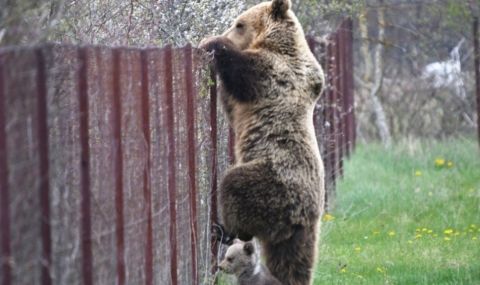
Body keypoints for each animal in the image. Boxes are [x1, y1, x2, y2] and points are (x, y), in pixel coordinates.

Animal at [199, 0, 326, 282]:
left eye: (239, 24)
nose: (227, 30)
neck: (279, 44)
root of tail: (303, 218)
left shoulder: (277, 74)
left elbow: (243, 71)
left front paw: (209, 41)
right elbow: (230, 103)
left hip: (274, 181)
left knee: (235, 185)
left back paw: (224, 228)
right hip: (291, 231)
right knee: (291, 259)